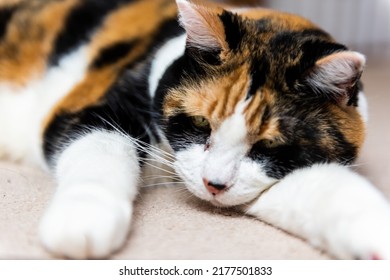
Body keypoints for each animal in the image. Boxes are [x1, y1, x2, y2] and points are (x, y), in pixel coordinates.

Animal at [0, 0, 390, 260]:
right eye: (202, 123)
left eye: (268, 146)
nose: (213, 184)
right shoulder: (92, 107)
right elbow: (100, 150)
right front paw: (83, 219)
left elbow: (322, 187)